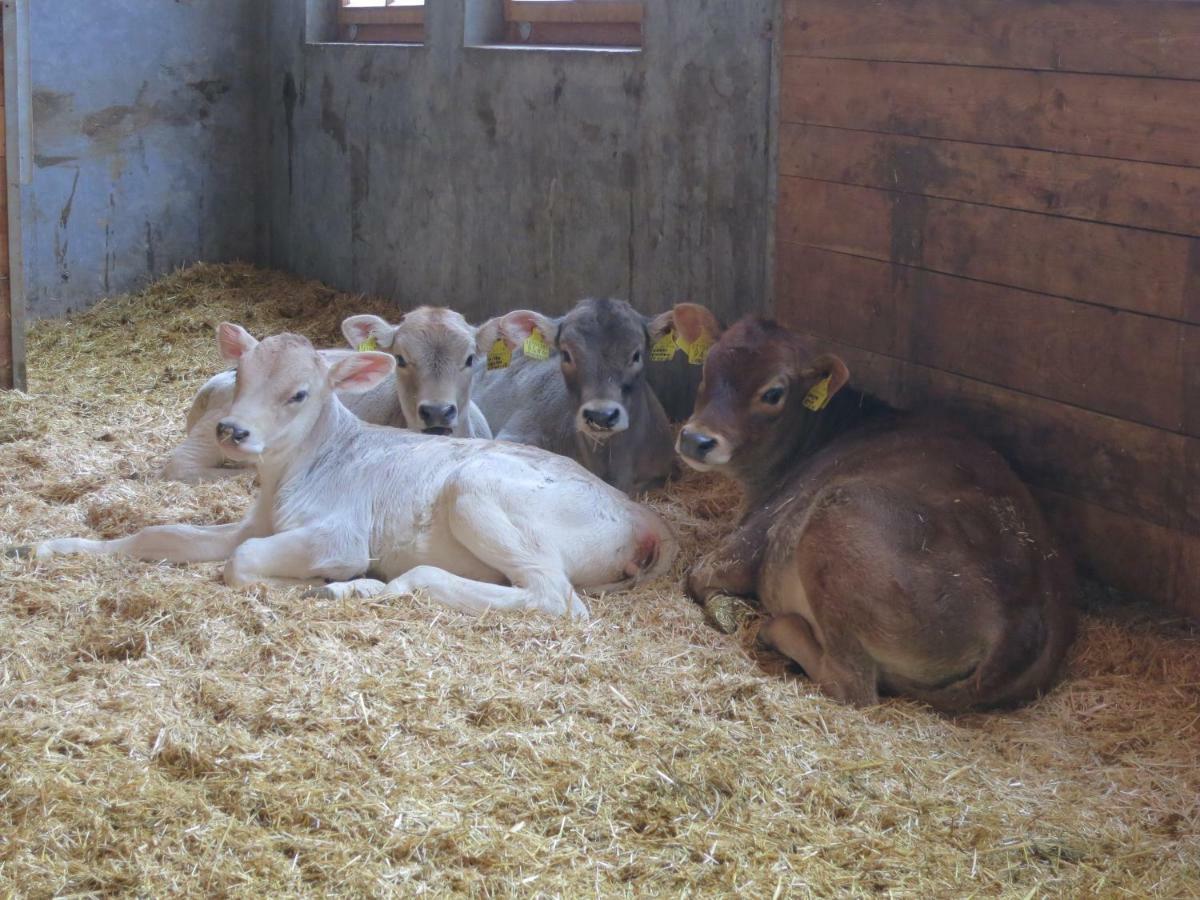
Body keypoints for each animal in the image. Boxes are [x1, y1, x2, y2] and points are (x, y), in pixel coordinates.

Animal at [676, 314, 1080, 710]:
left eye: (773, 393)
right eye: (706, 367)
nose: (696, 439)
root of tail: (1023, 627)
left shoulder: (761, 529)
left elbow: (698, 576)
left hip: (834, 521)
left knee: (852, 686)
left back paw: (776, 630)